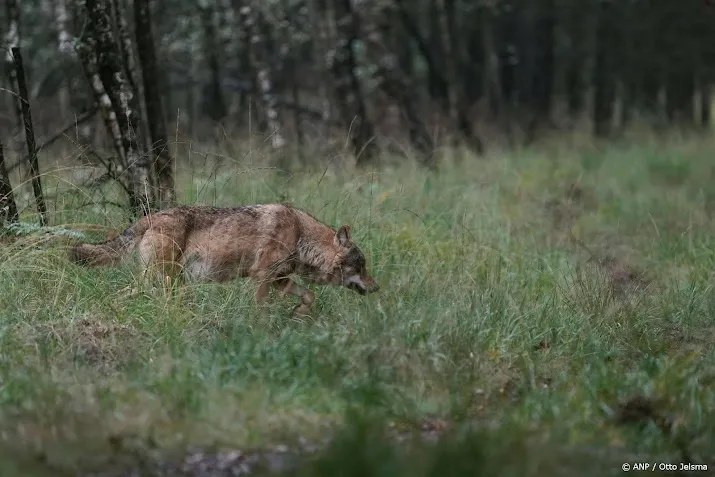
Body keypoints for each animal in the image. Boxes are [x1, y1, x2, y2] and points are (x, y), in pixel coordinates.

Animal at [69, 203, 380, 314]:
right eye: (362, 265)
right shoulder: (262, 278)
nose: (377, 288)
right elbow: (260, 309)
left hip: (164, 282)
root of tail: (149, 216)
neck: (300, 236)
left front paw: (299, 314)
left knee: (119, 295)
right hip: (162, 281)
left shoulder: (280, 280)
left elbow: (309, 296)